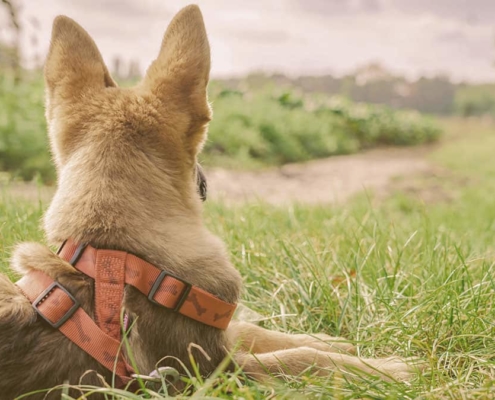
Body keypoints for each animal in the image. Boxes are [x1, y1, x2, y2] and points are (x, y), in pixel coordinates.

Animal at [0, 4, 422, 398]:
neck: (115, 254)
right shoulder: (210, 374)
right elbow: (296, 361)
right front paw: (385, 370)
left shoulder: (219, 345)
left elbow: (253, 329)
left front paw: (325, 340)